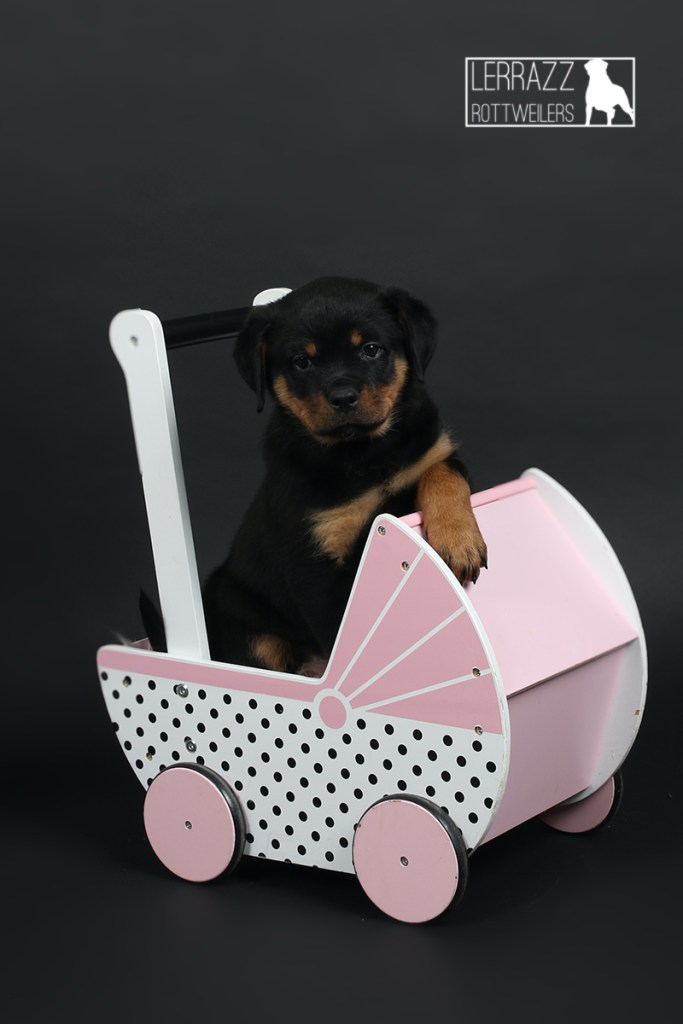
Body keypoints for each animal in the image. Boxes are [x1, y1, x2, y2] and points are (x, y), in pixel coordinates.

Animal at [200, 276, 487, 675]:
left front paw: (458, 541)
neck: (364, 451)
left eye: (371, 349)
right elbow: (340, 629)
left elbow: (443, 474)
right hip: (244, 620)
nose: (343, 397)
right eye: (301, 362)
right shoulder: (314, 561)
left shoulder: (437, 450)